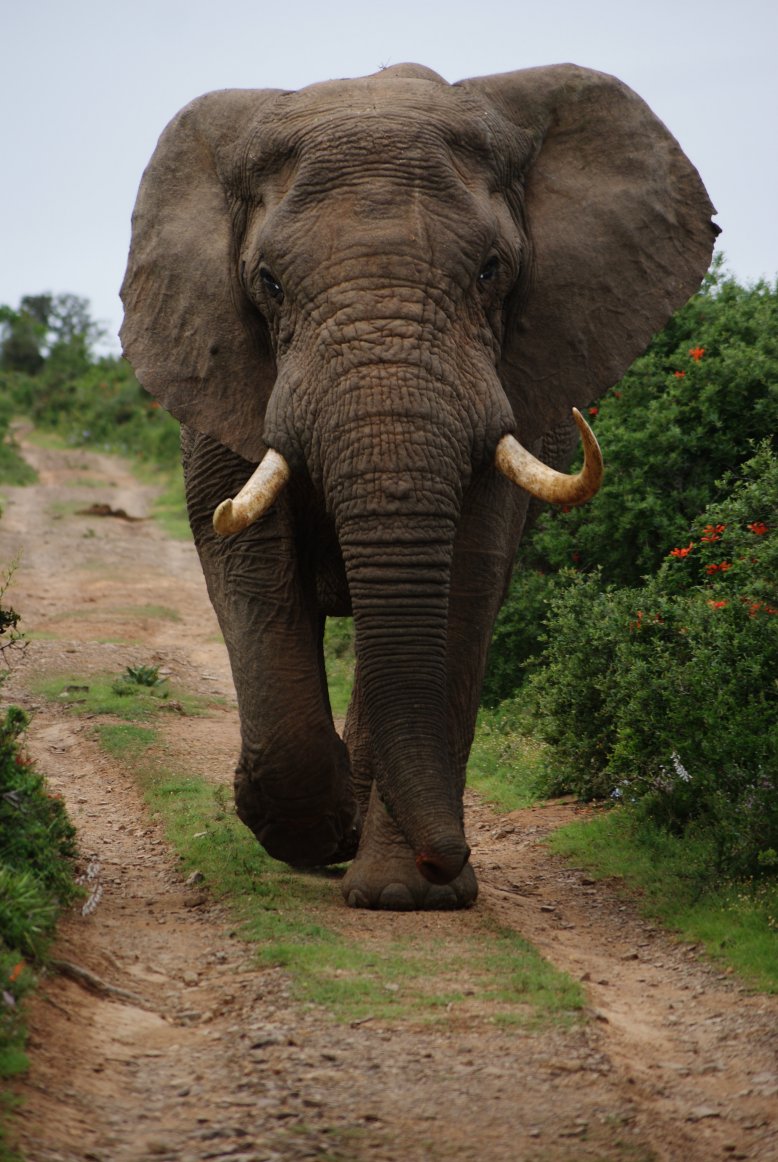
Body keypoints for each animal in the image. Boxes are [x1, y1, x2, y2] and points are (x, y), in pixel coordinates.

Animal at [120, 62, 717, 910]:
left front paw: (408, 894)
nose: (448, 856)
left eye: (492, 271)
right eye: (268, 283)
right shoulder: (218, 369)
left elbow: (466, 577)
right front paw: (313, 830)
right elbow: (246, 561)